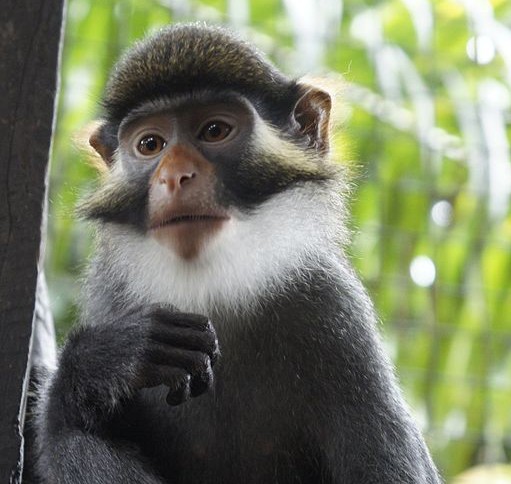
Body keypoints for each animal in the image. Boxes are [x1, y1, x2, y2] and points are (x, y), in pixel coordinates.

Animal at [34, 23, 442, 484]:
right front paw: (104, 358)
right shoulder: (112, 300)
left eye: (214, 130)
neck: (210, 289)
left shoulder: (337, 317)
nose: (175, 175)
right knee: (73, 442)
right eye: (151, 144)